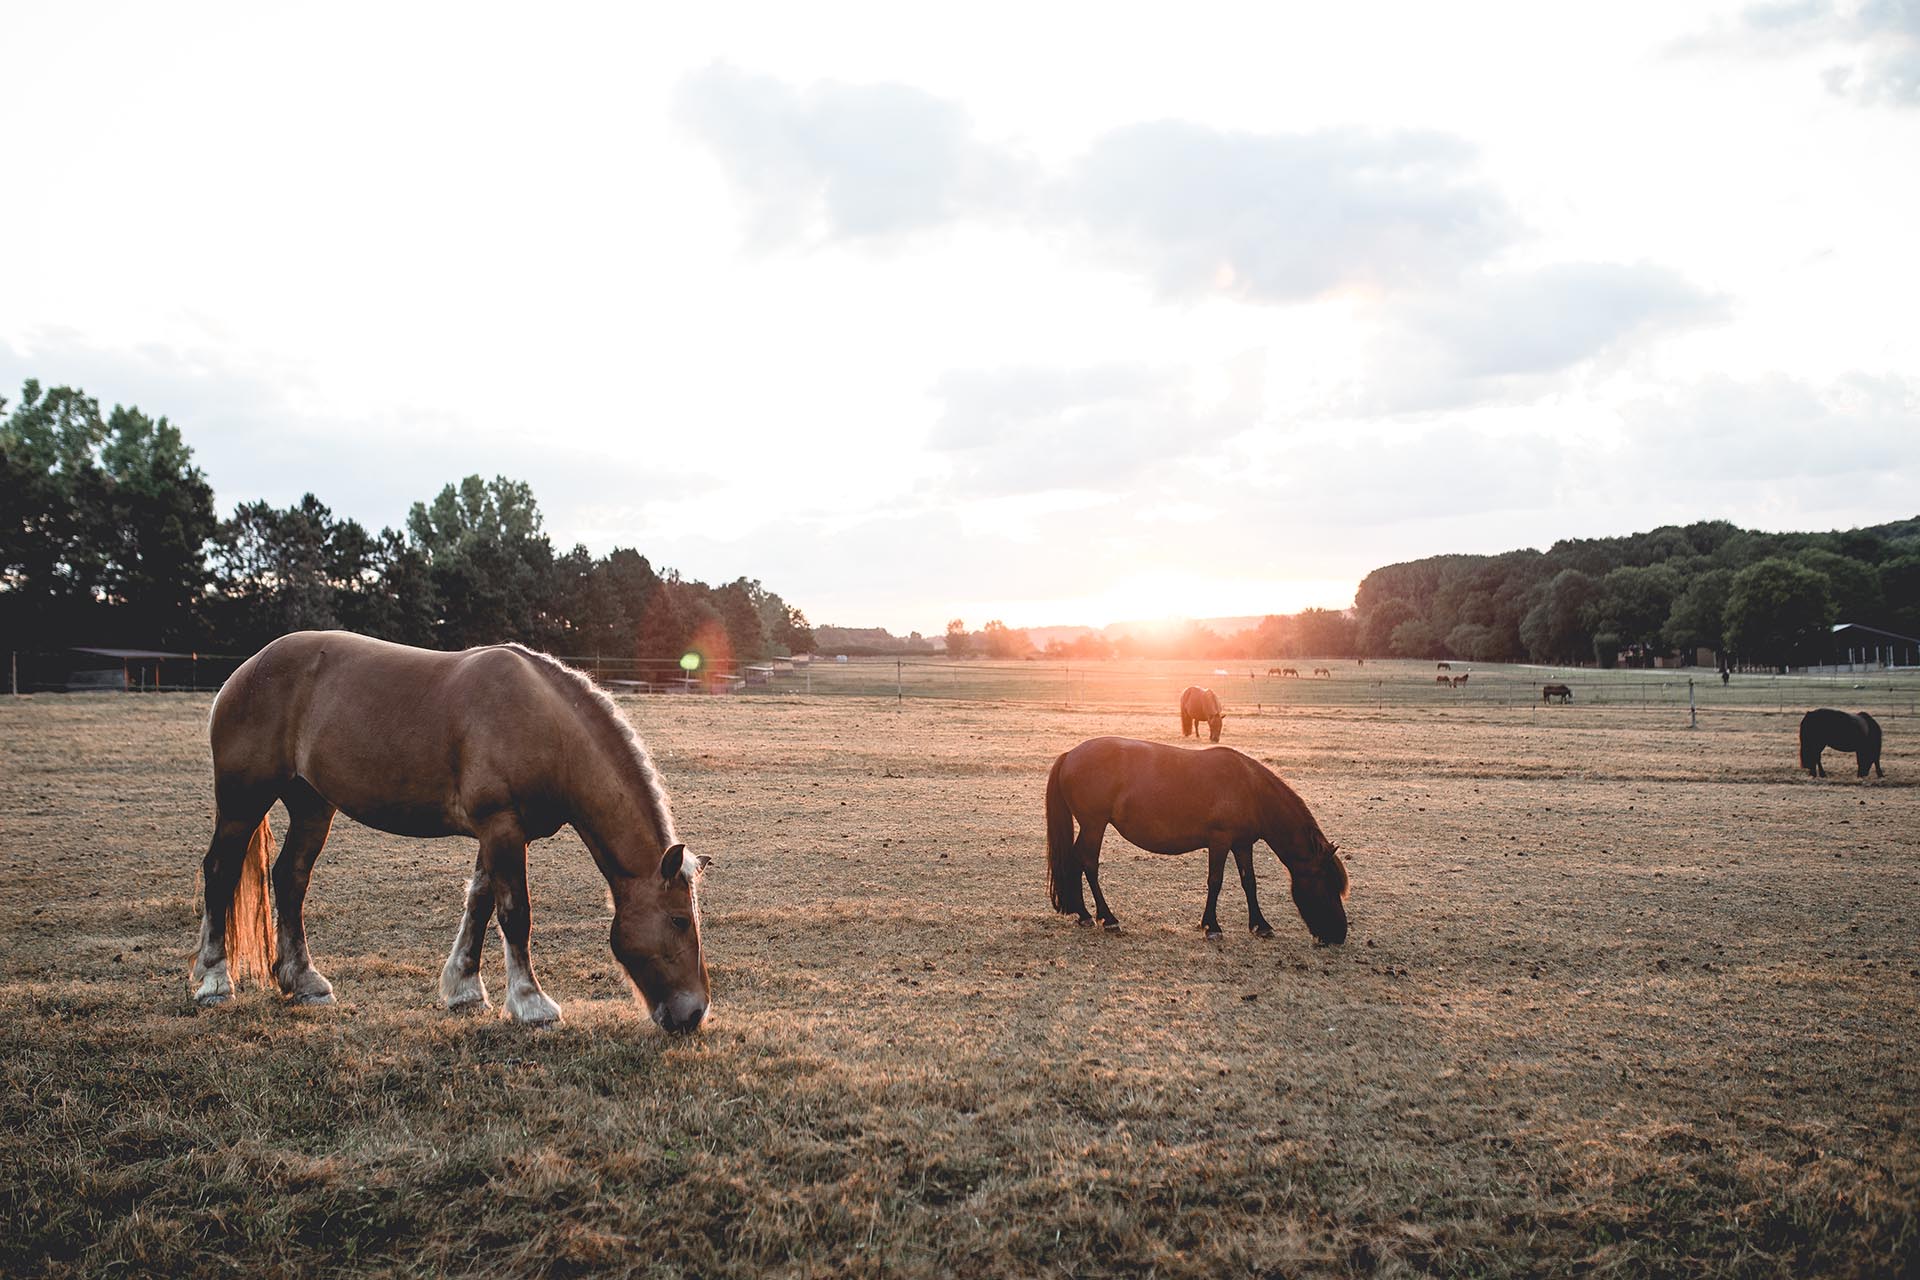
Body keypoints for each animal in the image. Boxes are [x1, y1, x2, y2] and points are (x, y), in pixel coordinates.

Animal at [192, 637, 714, 1036]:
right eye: (677, 921)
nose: (694, 1013)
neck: (545, 725)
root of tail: (247, 670)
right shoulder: (501, 826)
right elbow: (514, 913)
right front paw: (531, 1003)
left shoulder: (499, 833)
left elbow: (479, 903)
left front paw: (464, 989)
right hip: (242, 802)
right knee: (220, 872)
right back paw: (214, 980)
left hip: (312, 805)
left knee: (290, 878)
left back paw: (303, 981)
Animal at [1052, 736, 1351, 948]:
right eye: (1327, 884)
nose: (1339, 934)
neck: (1250, 789)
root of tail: (1070, 755)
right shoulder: (1220, 840)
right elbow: (1215, 881)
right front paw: (1212, 927)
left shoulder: (1242, 844)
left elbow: (1249, 883)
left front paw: (1260, 925)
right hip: (1094, 825)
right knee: (1089, 864)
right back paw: (1107, 918)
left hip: (1091, 826)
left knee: (1076, 860)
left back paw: (1083, 914)